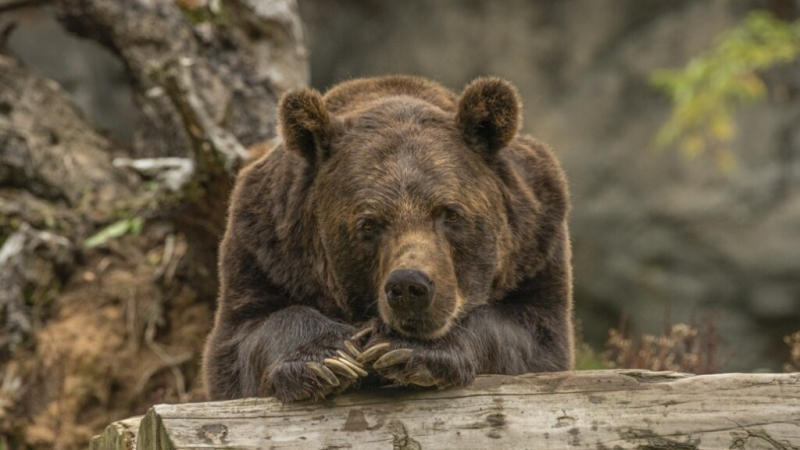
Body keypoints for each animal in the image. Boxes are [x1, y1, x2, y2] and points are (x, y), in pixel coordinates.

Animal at [202, 75, 574, 402]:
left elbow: (532, 336)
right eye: (369, 224)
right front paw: (328, 359)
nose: (409, 286)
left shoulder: (536, 245)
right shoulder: (265, 250)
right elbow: (244, 338)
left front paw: (407, 350)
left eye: (450, 213)